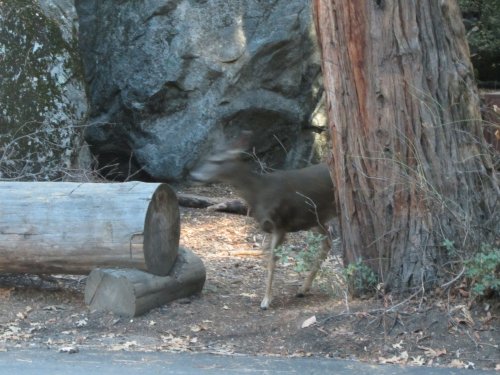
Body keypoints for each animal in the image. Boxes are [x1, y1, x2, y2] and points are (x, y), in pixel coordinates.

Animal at [189, 134, 338, 310]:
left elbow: (271, 261)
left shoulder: (280, 224)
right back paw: (303, 289)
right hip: (315, 219)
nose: (194, 176)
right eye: (206, 157)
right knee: (327, 241)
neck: (259, 192)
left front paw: (266, 300)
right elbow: (265, 255)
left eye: (217, 161)